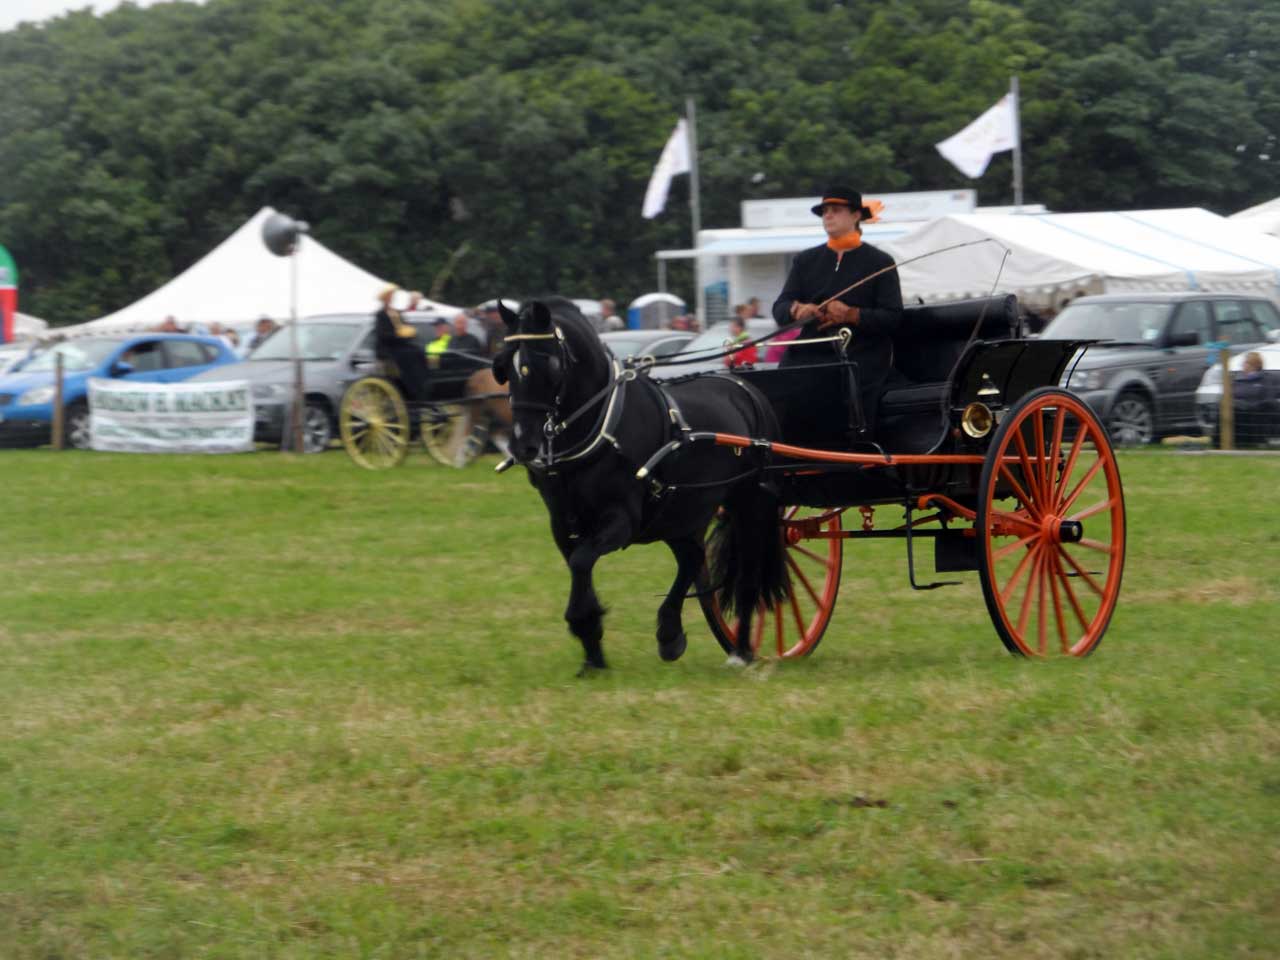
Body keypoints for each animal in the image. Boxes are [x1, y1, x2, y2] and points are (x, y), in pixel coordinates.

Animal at [491, 296, 783, 670]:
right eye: (503, 367)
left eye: (549, 364)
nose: (523, 445)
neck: (603, 424)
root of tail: (746, 389)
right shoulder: (561, 522)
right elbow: (578, 566)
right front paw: (593, 653)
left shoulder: (622, 519)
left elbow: (582, 561)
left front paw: (584, 625)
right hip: (682, 512)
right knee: (692, 558)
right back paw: (670, 634)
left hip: (749, 503)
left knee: (747, 572)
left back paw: (742, 650)